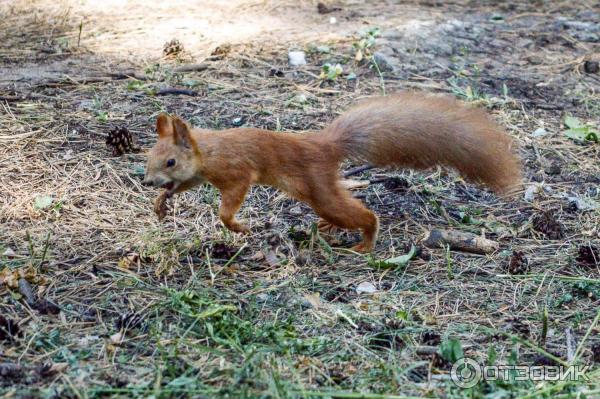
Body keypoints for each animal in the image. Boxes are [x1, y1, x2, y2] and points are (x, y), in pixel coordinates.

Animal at [144, 92, 520, 252]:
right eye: (149, 156)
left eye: (170, 161)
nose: (147, 180)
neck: (206, 151)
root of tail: (323, 146)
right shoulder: (196, 176)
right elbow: (183, 188)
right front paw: (162, 201)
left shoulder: (236, 172)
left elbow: (229, 204)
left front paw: (238, 226)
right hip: (318, 193)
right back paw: (328, 228)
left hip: (319, 191)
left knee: (362, 214)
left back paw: (367, 240)